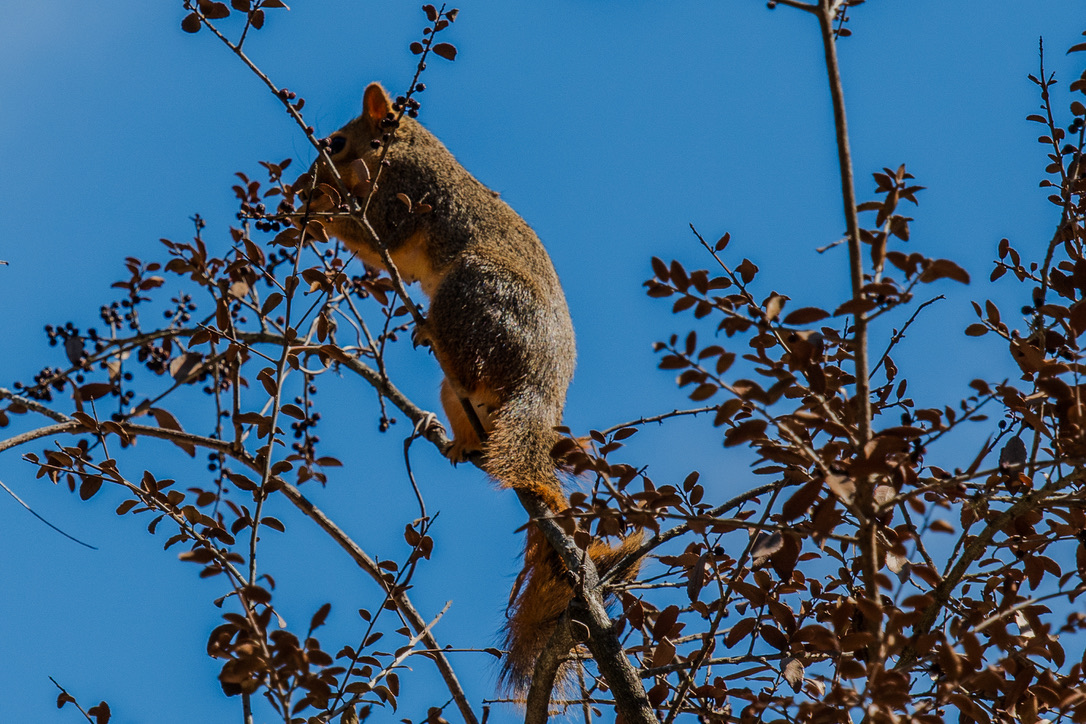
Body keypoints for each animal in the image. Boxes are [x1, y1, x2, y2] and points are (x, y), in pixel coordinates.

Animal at [299, 83, 638, 695]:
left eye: (335, 142)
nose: (300, 186)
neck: (405, 149)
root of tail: (541, 391)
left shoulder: (407, 196)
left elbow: (377, 234)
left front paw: (321, 207)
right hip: (466, 387)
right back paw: (460, 442)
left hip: (472, 288)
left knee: (466, 356)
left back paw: (431, 334)